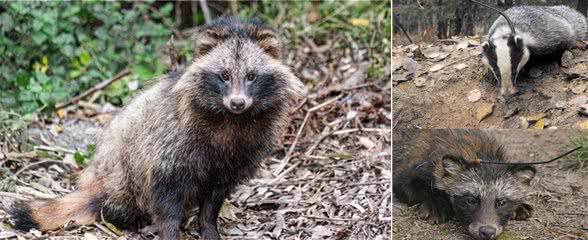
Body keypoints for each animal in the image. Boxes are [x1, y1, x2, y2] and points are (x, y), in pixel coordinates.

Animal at [6, 17, 304, 240]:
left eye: (252, 76)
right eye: (224, 76)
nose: (238, 103)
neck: (231, 119)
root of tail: (98, 186)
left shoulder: (238, 155)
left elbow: (214, 200)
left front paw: (208, 227)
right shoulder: (169, 149)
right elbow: (166, 201)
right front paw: (171, 232)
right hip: (122, 175)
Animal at [392, 130, 536, 239]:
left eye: (502, 202)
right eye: (471, 200)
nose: (487, 232)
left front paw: (520, 206)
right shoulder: (405, 175)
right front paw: (435, 203)